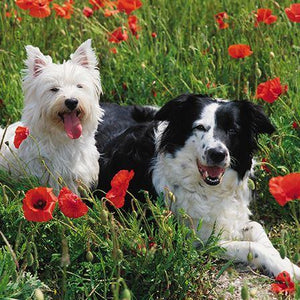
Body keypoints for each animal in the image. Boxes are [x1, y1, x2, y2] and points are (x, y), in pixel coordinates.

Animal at [96, 94, 300, 278]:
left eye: (233, 130)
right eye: (200, 127)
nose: (217, 154)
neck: (208, 189)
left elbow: (257, 228)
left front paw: (286, 264)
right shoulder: (199, 241)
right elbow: (252, 247)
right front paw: (283, 268)